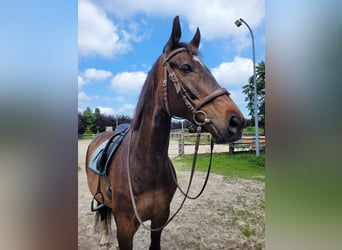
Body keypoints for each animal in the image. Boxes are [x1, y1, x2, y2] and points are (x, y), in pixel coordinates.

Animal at [85, 16, 246, 250]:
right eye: (186, 67)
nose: (237, 122)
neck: (144, 165)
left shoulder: (160, 220)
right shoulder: (125, 228)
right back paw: (105, 238)